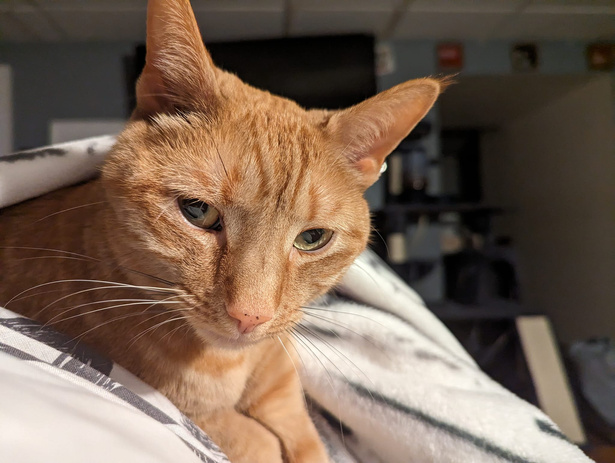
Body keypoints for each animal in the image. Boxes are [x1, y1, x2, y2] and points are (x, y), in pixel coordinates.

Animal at [0, 1, 446, 462]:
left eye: (312, 239)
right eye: (197, 211)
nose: (250, 316)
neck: (234, 365)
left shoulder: (286, 402)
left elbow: (304, 442)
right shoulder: (201, 415)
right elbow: (257, 440)